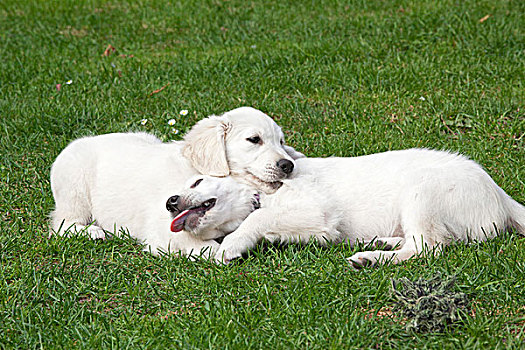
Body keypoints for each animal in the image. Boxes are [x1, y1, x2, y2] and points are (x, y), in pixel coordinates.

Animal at [173, 149, 524, 266]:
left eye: (197, 182)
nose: (169, 202)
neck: (265, 190)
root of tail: (500, 194)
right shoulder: (319, 230)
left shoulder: (318, 211)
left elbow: (258, 218)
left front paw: (231, 245)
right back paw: (383, 243)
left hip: (421, 192)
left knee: (429, 247)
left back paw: (372, 258)